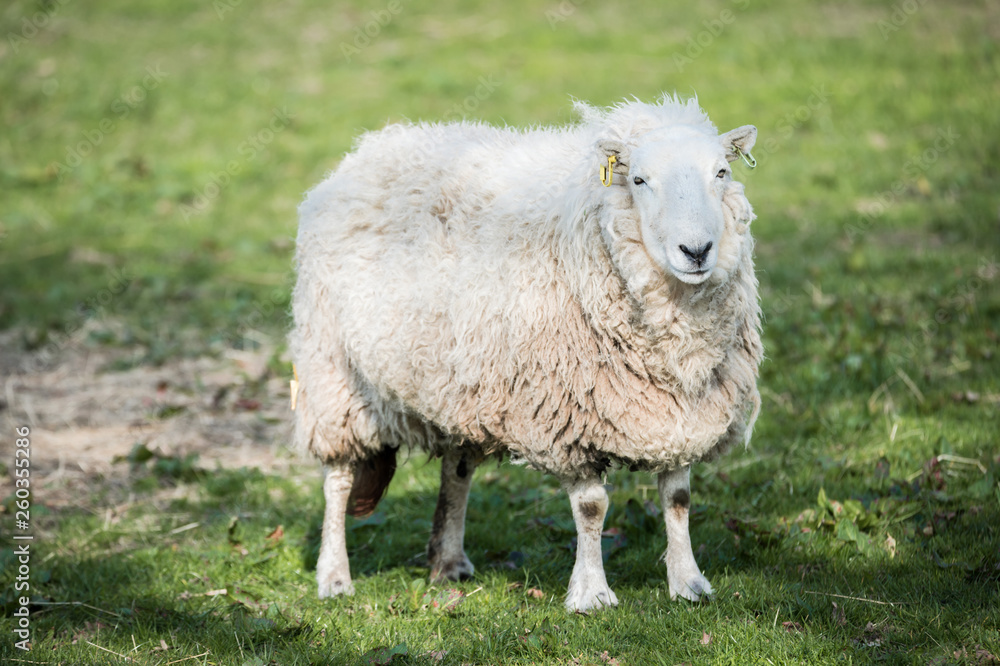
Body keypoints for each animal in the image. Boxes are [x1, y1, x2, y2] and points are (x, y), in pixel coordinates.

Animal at [292, 93, 760, 612]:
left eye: (721, 172)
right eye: (638, 180)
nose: (696, 251)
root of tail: (370, 148)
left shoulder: (676, 409)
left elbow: (677, 499)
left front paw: (689, 583)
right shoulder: (571, 417)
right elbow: (592, 507)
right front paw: (592, 594)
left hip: (460, 381)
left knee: (456, 470)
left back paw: (448, 561)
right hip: (333, 371)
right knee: (338, 478)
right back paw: (334, 576)